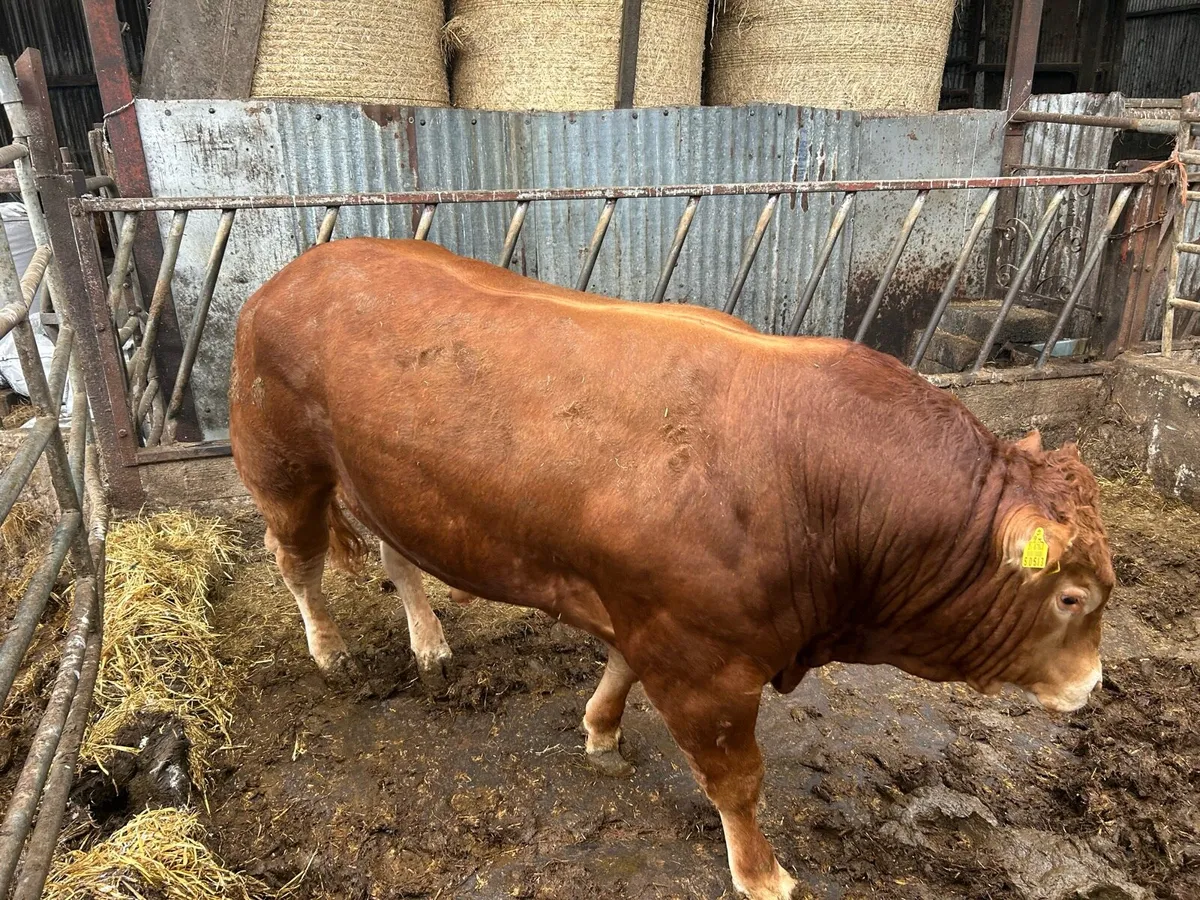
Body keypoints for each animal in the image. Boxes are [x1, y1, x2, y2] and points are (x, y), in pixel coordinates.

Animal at [229, 238, 1114, 900]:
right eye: (1071, 597)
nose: (1094, 685)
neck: (816, 480)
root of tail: (298, 268)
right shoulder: (705, 665)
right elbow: (738, 781)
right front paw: (762, 874)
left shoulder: (654, 617)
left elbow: (619, 673)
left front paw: (600, 730)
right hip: (283, 466)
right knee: (297, 562)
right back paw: (330, 651)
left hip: (390, 482)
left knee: (395, 555)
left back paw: (429, 642)